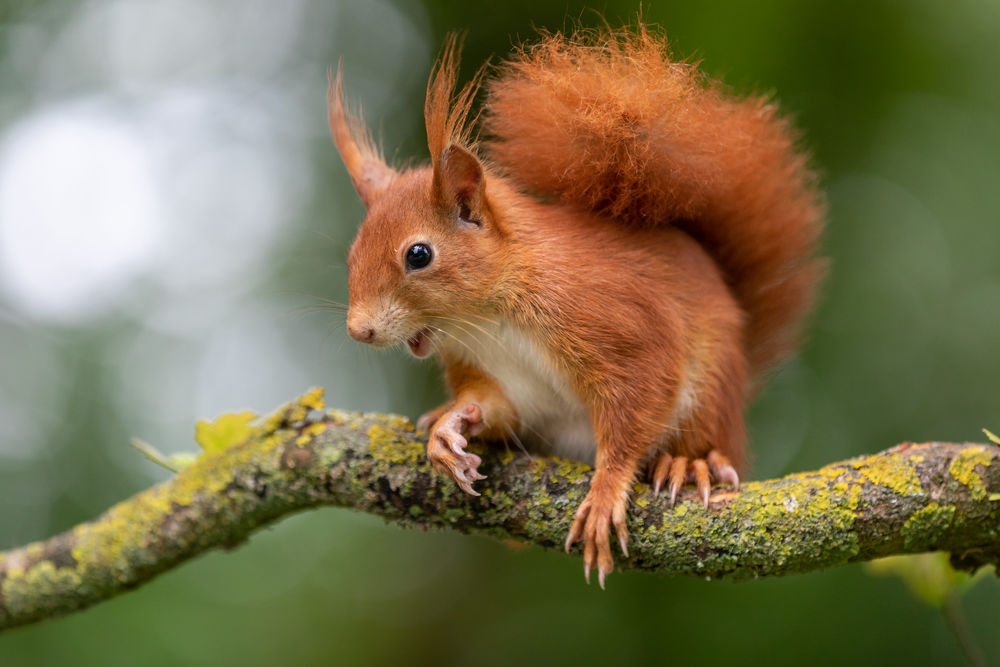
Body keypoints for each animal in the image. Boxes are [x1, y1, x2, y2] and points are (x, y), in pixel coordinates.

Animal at [329, 26, 825, 587]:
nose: (359, 330)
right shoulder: (496, 374)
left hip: (711, 393)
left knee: (707, 439)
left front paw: (607, 490)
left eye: (418, 255)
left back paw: (689, 464)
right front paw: (449, 427)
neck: (488, 319)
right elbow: (492, 405)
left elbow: (638, 405)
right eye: (352, 253)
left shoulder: (615, 325)